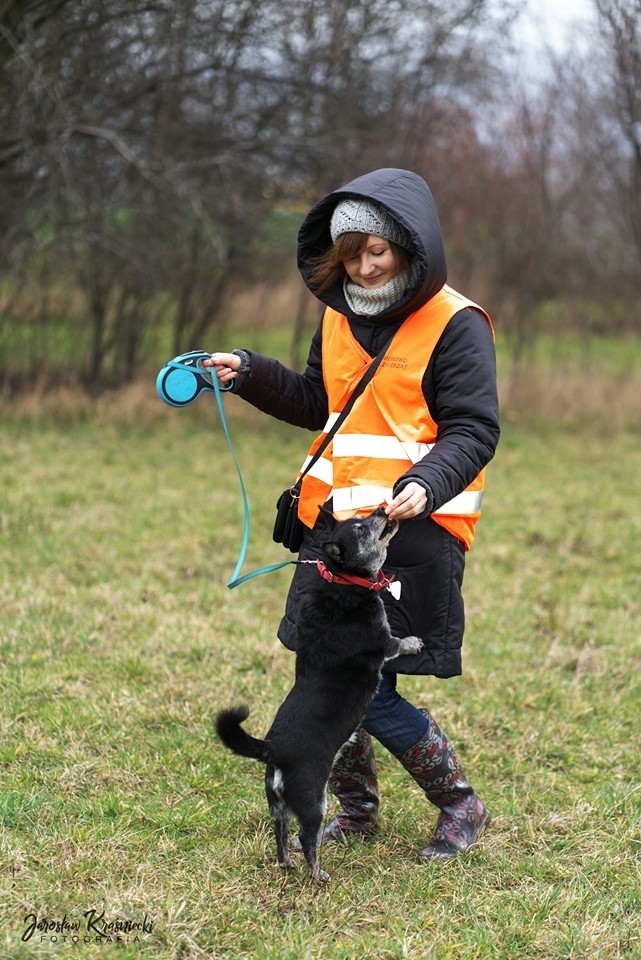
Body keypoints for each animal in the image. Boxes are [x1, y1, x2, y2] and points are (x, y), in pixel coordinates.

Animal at [215, 506, 420, 880]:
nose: (383, 507)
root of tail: (273, 750)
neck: (343, 580)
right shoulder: (384, 643)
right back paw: (317, 874)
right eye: (361, 528)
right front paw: (415, 642)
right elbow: (399, 643)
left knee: (280, 833)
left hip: (277, 804)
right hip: (314, 801)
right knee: (306, 836)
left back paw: (287, 863)